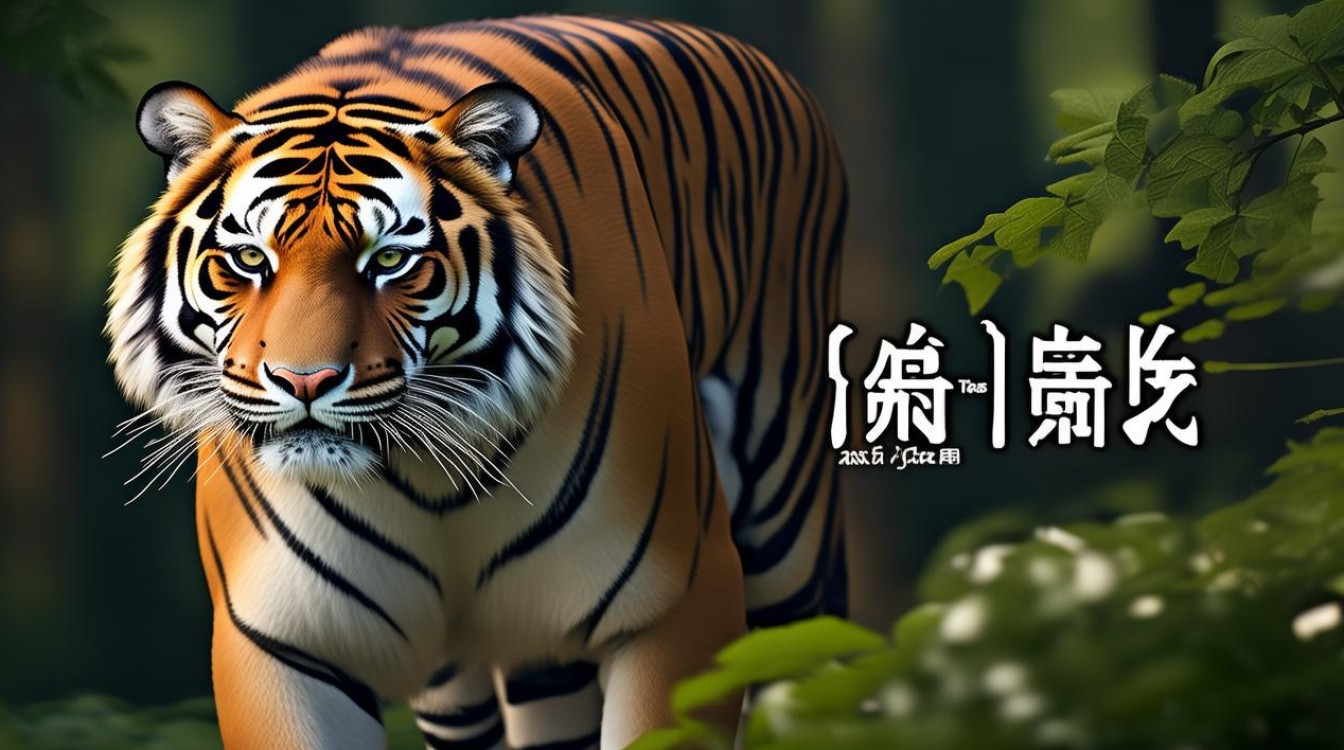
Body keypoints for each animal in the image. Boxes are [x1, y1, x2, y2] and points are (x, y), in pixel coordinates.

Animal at [106, 15, 847, 750]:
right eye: (248, 258)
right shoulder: (282, 644)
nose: (304, 380)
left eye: (391, 260)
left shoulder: (678, 604)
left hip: (786, 531)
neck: (426, 480)